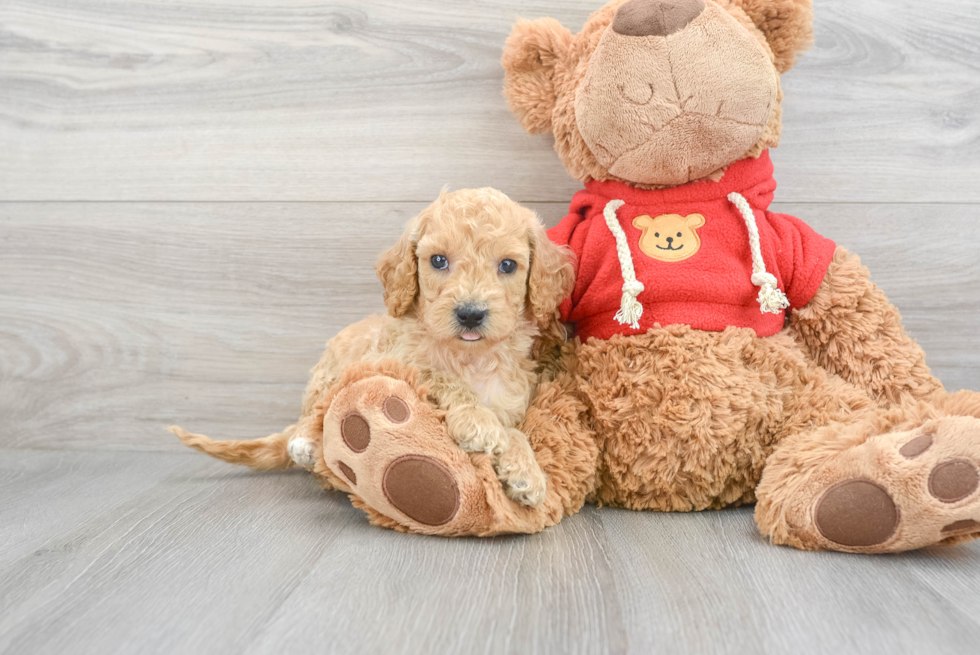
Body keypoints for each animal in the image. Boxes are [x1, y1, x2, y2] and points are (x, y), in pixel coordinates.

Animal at [170, 190, 576, 508]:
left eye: (508, 265)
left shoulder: (514, 403)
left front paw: (526, 472)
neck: (471, 359)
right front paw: (478, 421)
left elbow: (516, 432)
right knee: (315, 414)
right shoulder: (395, 361)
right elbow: (438, 377)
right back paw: (306, 443)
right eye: (438, 261)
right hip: (331, 372)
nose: (471, 314)